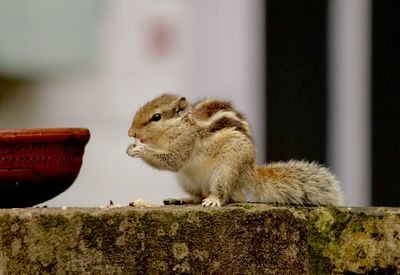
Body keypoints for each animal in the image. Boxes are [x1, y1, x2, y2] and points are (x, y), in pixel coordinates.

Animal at [127, 94, 344, 207]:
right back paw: (181, 199)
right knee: (198, 196)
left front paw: (140, 149)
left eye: (156, 117)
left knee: (225, 195)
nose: (131, 133)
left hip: (226, 170)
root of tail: (247, 171)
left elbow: (174, 160)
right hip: (187, 180)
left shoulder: (187, 141)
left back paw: (213, 200)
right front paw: (131, 147)